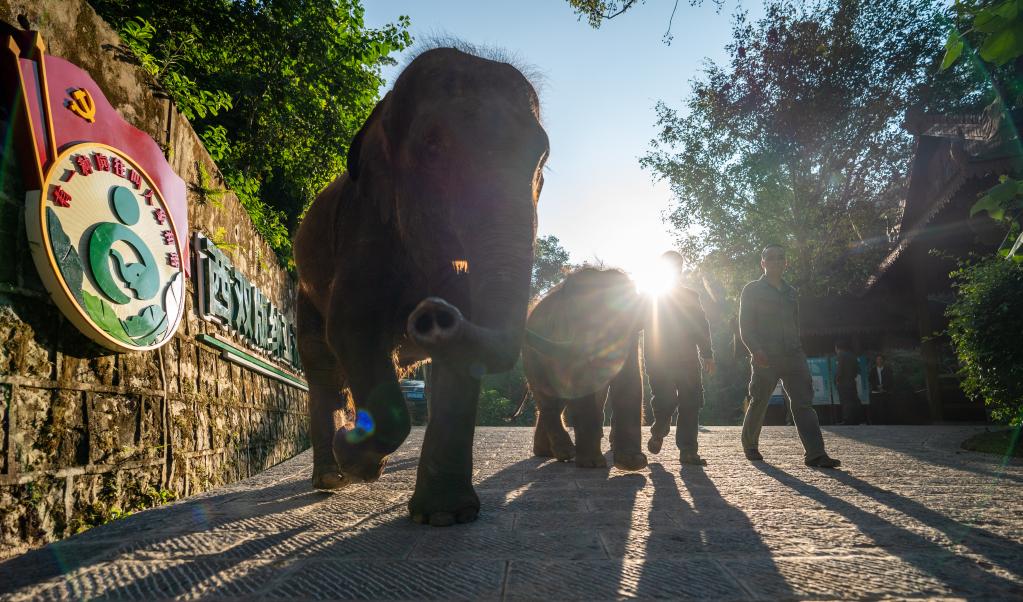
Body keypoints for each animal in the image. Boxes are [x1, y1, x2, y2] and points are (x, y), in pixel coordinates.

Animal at [294, 48, 552, 528]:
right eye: (433, 147)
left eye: (541, 159)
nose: (432, 313)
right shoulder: (364, 227)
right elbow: (353, 329)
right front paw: (353, 457)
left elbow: (459, 360)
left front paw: (446, 516)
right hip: (305, 290)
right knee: (322, 365)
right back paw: (331, 477)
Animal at [519, 266, 646, 470]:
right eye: (574, 317)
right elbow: (580, 384)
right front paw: (591, 464)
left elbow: (630, 380)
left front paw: (633, 462)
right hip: (531, 358)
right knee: (547, 397)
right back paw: (564, 453)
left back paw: (546, 452)